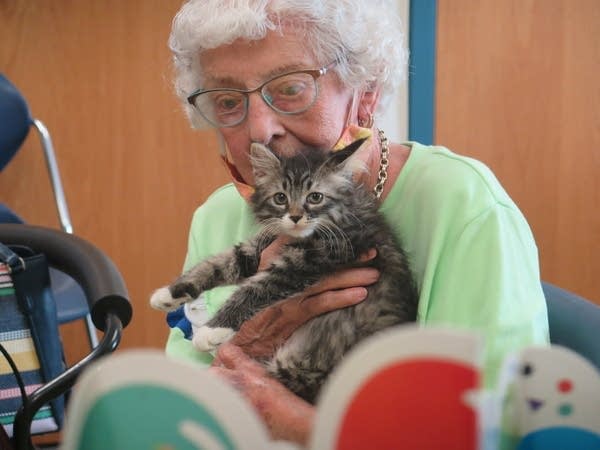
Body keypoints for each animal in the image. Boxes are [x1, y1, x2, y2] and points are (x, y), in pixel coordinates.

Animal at [151, 139, 418, 402]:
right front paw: (169, 294)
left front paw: (212, 329)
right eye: (280, 198)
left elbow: (255, 288)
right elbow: (218, 263)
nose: (296, 217)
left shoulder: (309, 260)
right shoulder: (258, 249)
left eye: (315, 197)